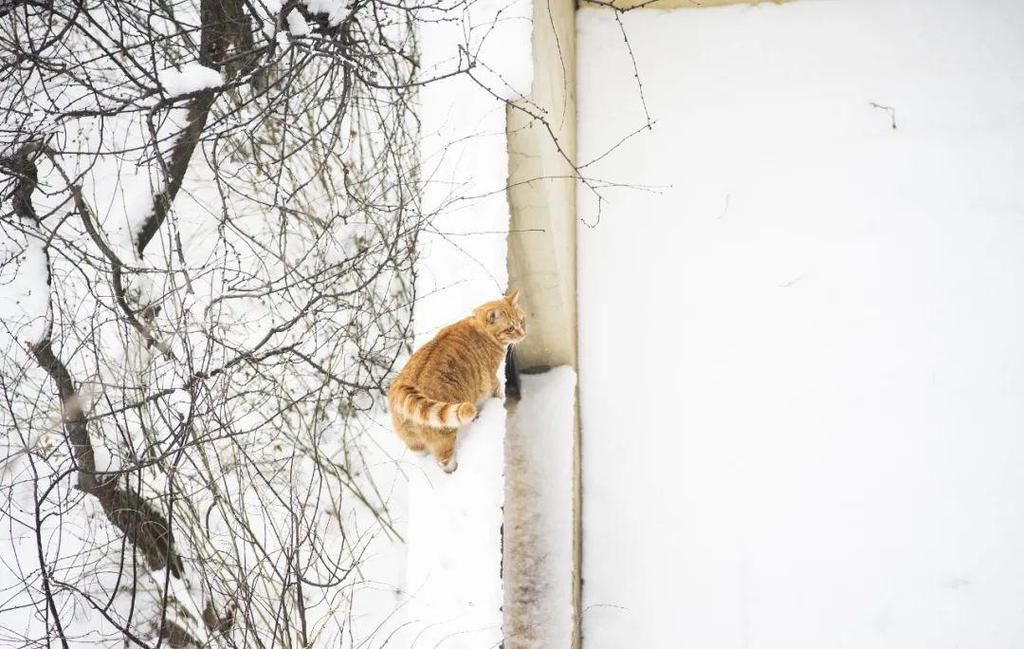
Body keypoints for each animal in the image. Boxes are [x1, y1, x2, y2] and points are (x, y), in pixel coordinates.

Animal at [385, 292, 528, 470]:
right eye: (510, 328)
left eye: (521, 321)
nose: (523, 334)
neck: (480, 328)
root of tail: (401, 388)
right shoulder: (491, 379)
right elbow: (498, 391)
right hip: (445, 437)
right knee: (444, 462)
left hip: (414, 444)